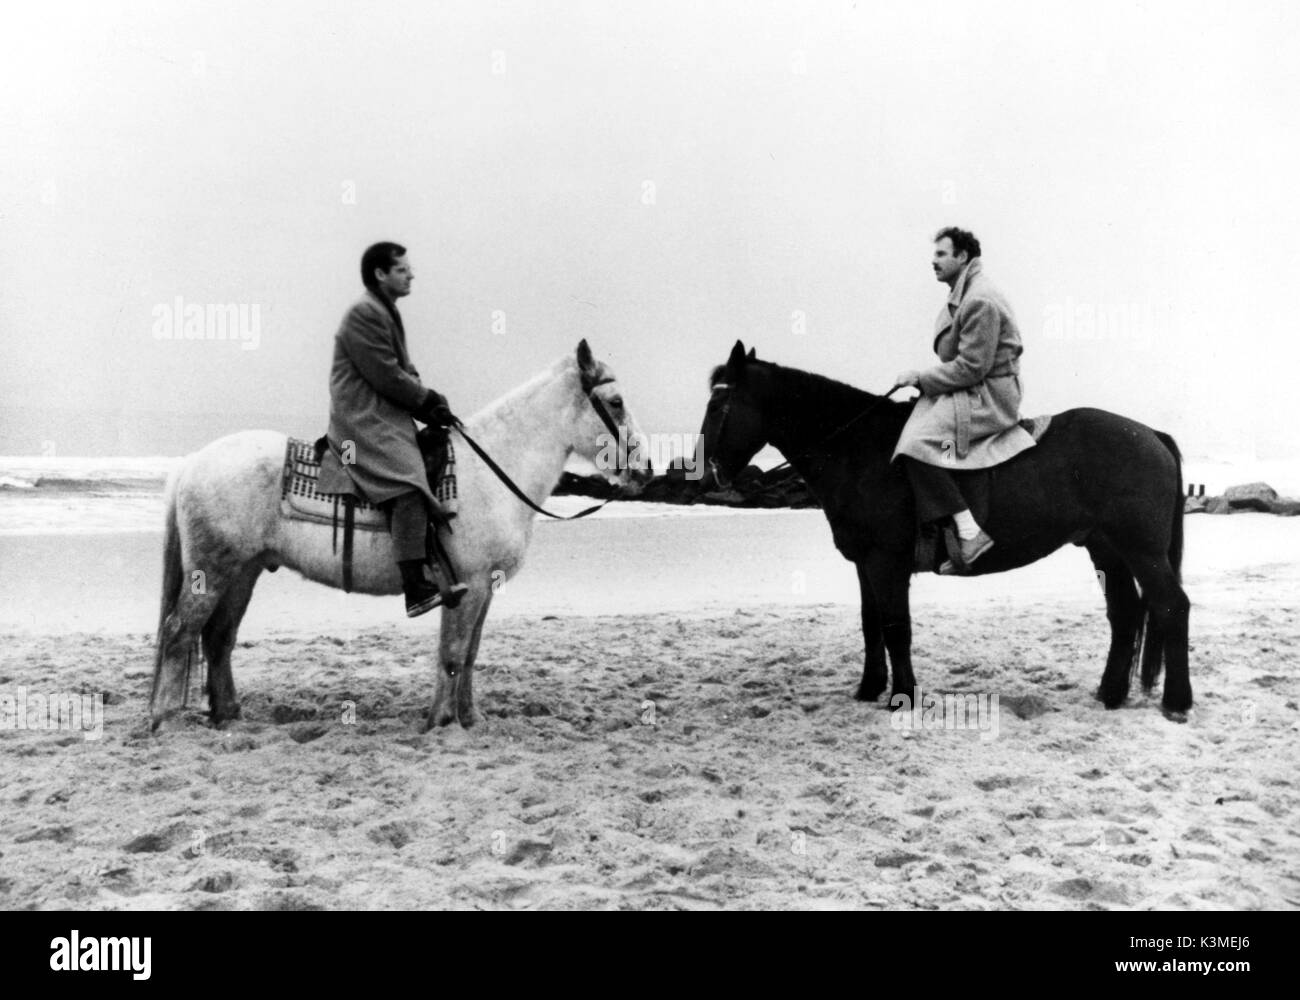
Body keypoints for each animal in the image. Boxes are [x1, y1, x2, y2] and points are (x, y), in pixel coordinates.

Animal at [150, 338, 650, 728]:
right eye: (617, 402)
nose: (644, 471)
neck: (490, 471)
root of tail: (193, 462)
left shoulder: (484, 589)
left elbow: (470, 654)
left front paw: (470, 718)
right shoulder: (467, 587)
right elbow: (452, 653)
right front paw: (442, 722)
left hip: (243, 571)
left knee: (218, 638)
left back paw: (229, 715)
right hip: (212, 572)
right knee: (179, 632)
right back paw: (166, 720)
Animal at [702, 340, 1190, 717]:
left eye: (720, 404)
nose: (709, 474)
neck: (860, 450)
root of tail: (1150, 434)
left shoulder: (887, 563)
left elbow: (896, 626)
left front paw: (902, 695)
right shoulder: (865, 563)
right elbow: (871, 623)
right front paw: (869, 687)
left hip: (1141, 550)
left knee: (1171, 606)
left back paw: (1177, 701)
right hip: (1107, 549)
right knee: (1125, 613)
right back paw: (1110, 694)